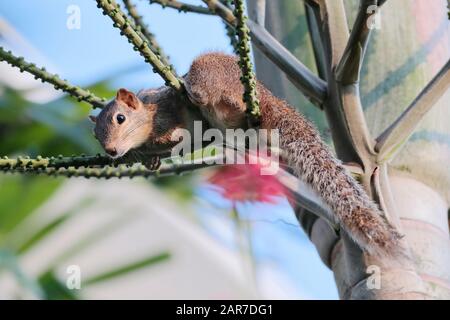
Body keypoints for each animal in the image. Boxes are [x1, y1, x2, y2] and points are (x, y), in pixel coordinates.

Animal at [89, 52, 400, 258]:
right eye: (95, 135)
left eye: (120, 118)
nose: (111, 151)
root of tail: (267, 98)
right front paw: (152, 160)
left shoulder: (165, 106)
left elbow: (172, 122)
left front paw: (172, 134)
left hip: (212, 70)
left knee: (216, 92)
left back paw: (196, 91)